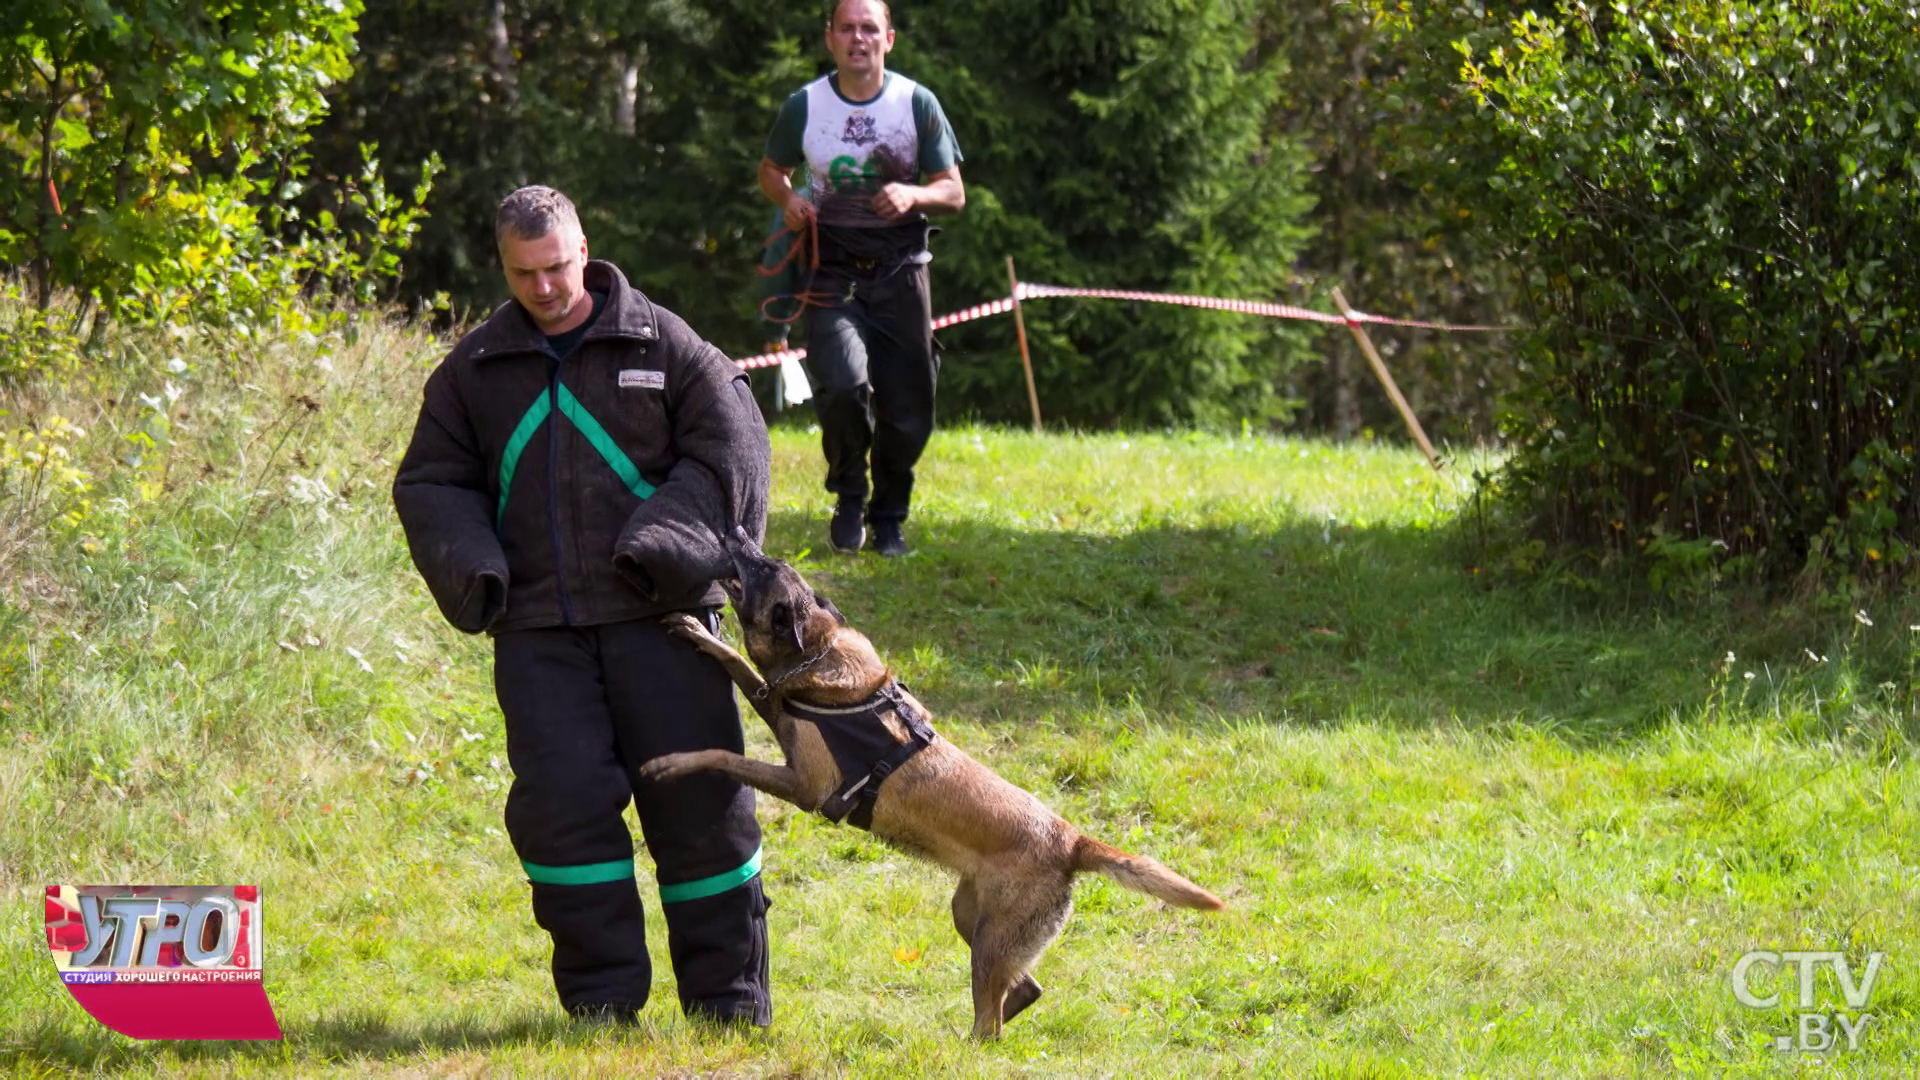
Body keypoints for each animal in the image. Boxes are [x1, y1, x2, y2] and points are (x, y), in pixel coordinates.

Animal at [637, 526, 1221, 1037]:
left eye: (763, 567)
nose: (736, 531)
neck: (823, 660)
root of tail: (1072, 841)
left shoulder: (804, 787)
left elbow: (722, 755)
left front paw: (670, 764)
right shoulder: (777, 710)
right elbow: (739, 664)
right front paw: (698, 633)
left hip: (991, 942)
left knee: (992, 1026)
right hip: (971, 919)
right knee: (1024, 991)